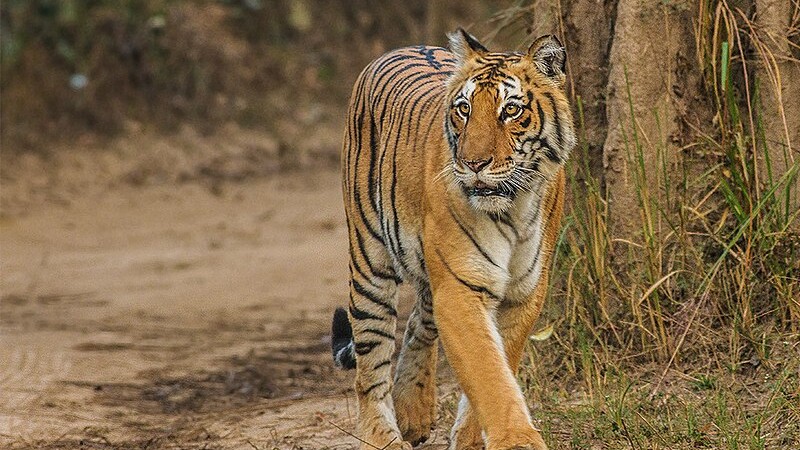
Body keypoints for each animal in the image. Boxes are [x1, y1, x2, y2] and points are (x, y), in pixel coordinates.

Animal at [330, 28, 575, 450]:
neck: (514, 206)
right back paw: (383, 435)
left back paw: (412, 412)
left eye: (511, 110)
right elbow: (488, 372)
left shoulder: (524, 292)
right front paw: (516, 440)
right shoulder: (460, 288)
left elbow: (500, 363)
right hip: (369, 260)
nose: (473, 163)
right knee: (370, 365)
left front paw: (472, 438)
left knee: (417, 323)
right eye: (464, 109)